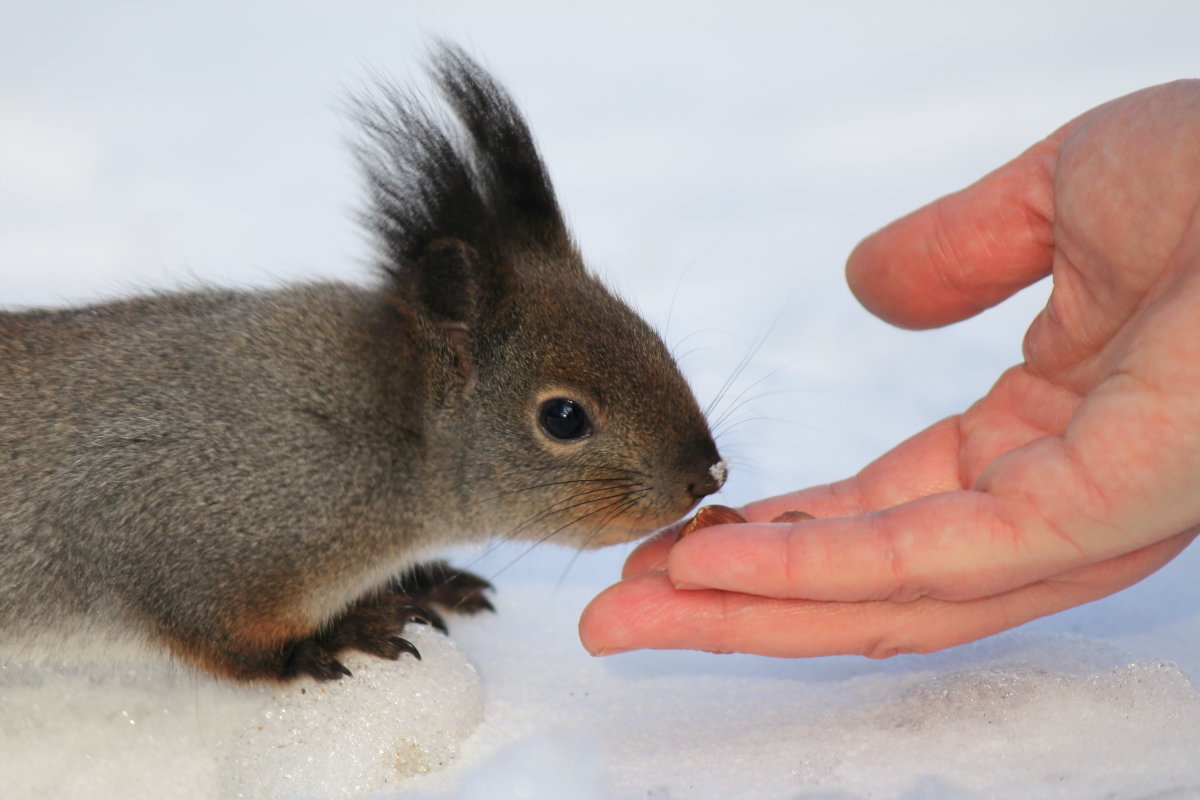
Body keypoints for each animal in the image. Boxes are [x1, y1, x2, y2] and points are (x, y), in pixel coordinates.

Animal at [0, 42, 720, 681]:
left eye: (653, 341)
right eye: (564, 418)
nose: (708, 476)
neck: (387, 434)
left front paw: (427, 582)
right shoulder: (178, 521)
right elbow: (217, 632)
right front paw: (338, 634)